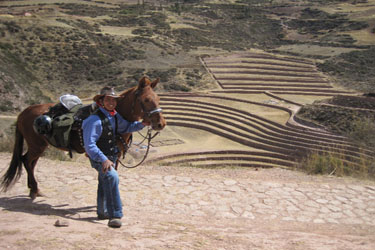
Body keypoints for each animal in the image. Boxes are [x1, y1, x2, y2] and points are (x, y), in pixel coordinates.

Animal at [0, 76, 167, 199]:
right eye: (146, 99)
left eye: (158, 99)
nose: (161, 123)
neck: (114, 118)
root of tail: (24, 112)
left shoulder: (116, 155)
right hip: (36, 145)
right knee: (26, 161)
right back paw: (34, 189)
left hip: (39, 146)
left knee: (31, 163)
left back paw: (34, 190)